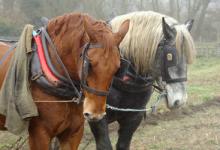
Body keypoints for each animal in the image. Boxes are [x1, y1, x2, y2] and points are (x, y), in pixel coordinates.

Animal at [88, 11, 197, 149]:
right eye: (170, 56)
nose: (180, 101)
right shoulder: (97, 117)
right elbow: (104, 144)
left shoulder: (134, 117)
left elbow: (123, 144)